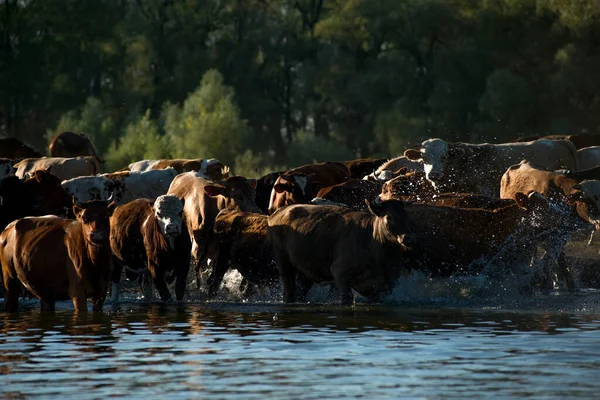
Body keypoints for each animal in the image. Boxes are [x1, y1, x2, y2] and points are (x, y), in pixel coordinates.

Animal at [268, 200, 414, 304]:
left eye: (407, 216)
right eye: (389, 217)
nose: (408, 237)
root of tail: (278, 212)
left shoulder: (386, 284)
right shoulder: (340, 272)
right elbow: (347, 299)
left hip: (306, 268)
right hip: (282, 261)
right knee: (289, 289)